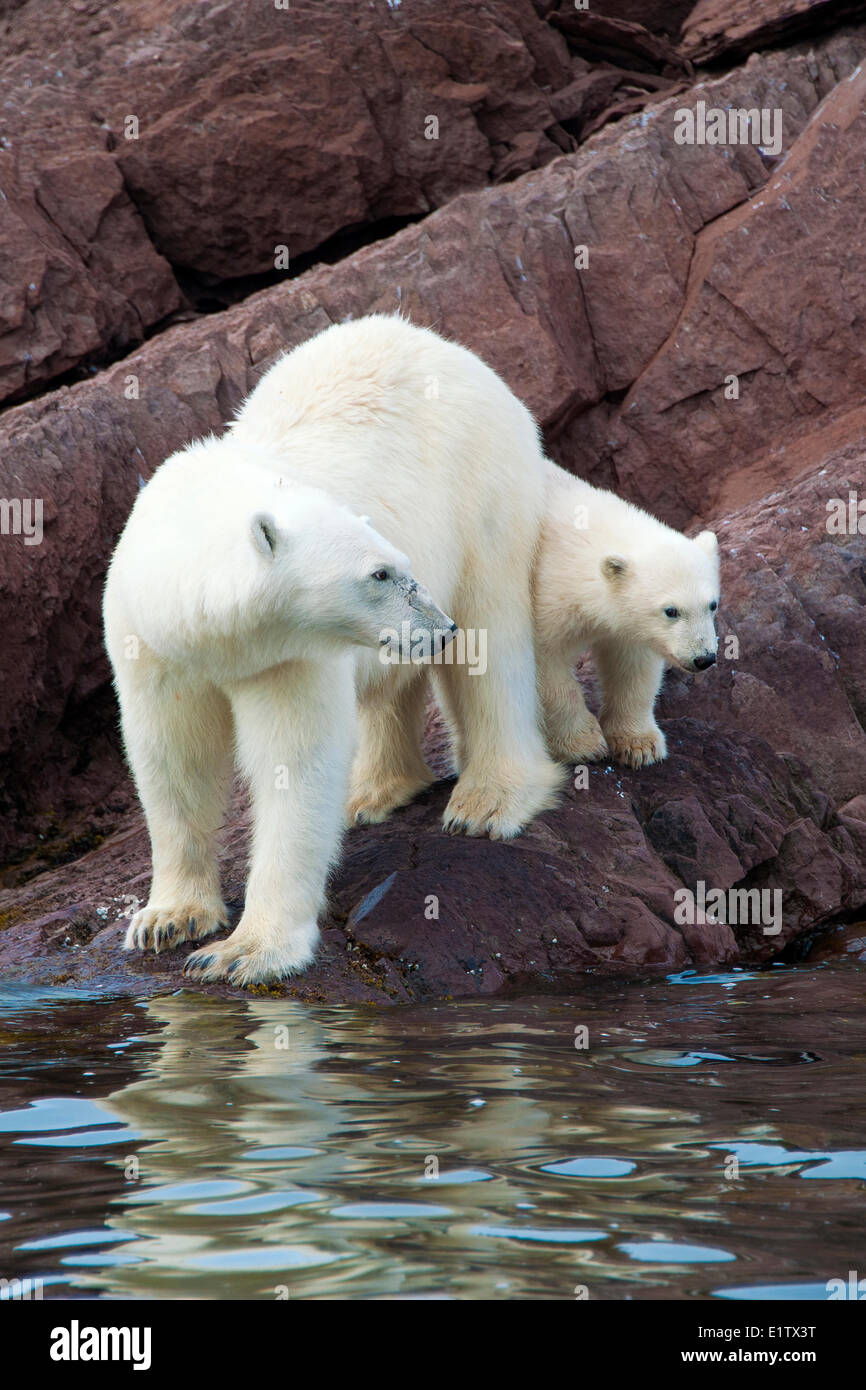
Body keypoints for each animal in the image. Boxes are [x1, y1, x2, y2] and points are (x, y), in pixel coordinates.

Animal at [536, 467, 717, 772]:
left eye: (712, 605)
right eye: (671, 610)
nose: (703, 658)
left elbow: (632, 665)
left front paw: (639, 745)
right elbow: (547, 667)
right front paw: (583, 745)